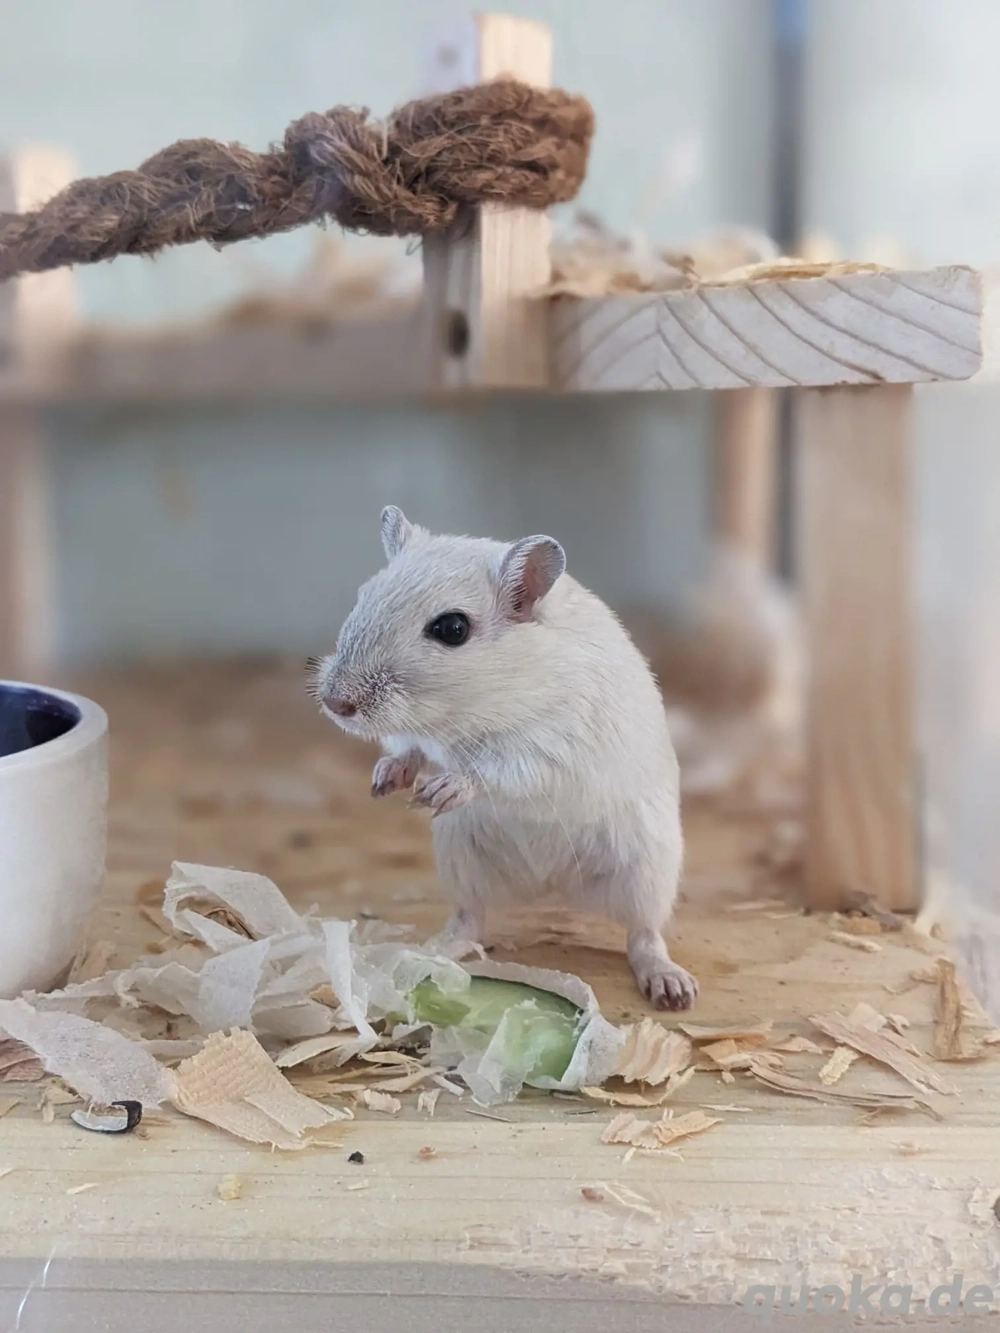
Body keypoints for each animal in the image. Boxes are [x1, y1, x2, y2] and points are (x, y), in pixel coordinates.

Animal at [310, 506, 697, 1010]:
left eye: (452, 629)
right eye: (363, 596)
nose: (334, 704)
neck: (477, 705)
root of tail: (550, 889)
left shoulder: (548, 748)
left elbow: (493, 772)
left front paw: (440, 790)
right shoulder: (415, 736)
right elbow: (405, 748)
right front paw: (384, 783)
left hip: (648, 870)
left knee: (643, 933)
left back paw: (671, 986)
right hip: (461, 861)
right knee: (470, 919)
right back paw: (430, 951)